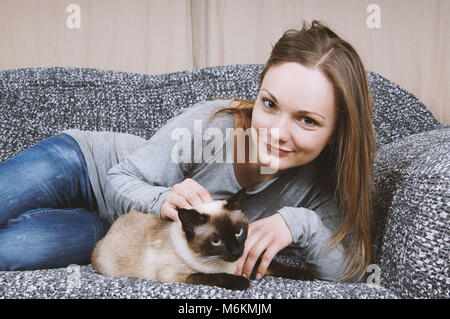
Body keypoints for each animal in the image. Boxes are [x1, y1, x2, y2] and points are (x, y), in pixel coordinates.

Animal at [91, 189, 314, 292]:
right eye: (216, 242)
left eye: (238, 232)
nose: (236, 252)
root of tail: (112, 226)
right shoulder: (179, 276)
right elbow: (215, 277)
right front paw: (243, 282)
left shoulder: (247, 260)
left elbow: (276, 265)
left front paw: (310, 274)